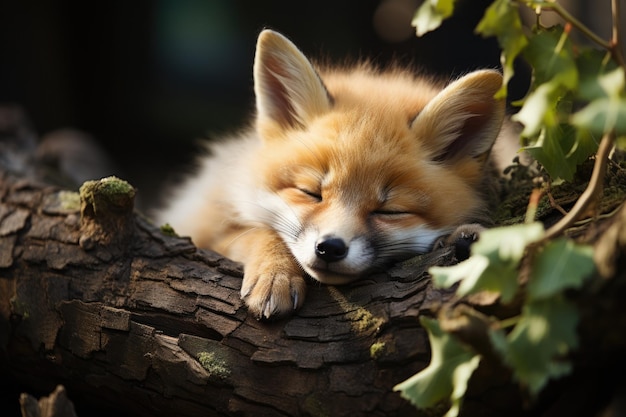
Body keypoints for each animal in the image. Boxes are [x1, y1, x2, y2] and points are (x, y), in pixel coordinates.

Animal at [155, 29, 508, 318]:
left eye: (391, 211)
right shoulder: (198, 227)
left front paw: (462, 239)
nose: (330, 248)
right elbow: (261, 232)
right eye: (310, 192)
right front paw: (275, 273)